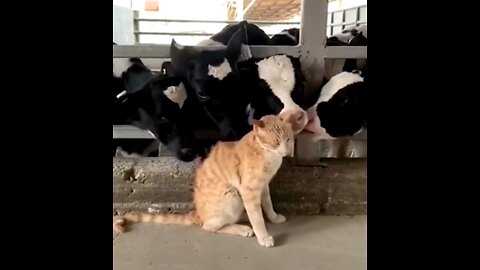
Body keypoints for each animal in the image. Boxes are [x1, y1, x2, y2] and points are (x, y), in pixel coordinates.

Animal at [114, 114, 294, 247]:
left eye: (289, 139)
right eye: (276, 142)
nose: (286, 152)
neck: (268, 154)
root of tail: (198, 214)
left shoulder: (263, 186)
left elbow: (267, 204)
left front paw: (273, 217)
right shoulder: (249, 190)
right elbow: (257, 219)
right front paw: (263, 237)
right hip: (232, 196)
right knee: (209, 226)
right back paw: (242, 228)